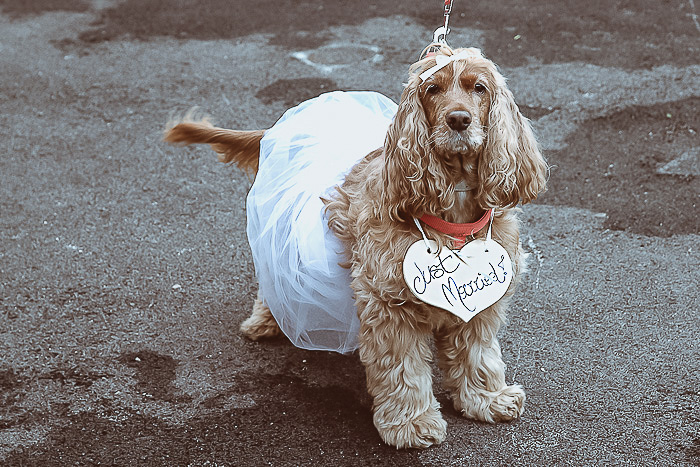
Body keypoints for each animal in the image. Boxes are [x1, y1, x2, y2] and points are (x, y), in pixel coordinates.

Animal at [163, 44, 548, 450]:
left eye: (479, 88)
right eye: (432, 89)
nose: (458, 119)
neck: (453, 209)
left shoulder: (481, 304)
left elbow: (478, 354)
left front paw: (487, 398)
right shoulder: (390, 306)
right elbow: (402, 370)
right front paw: (411, 423)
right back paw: (266, 321)